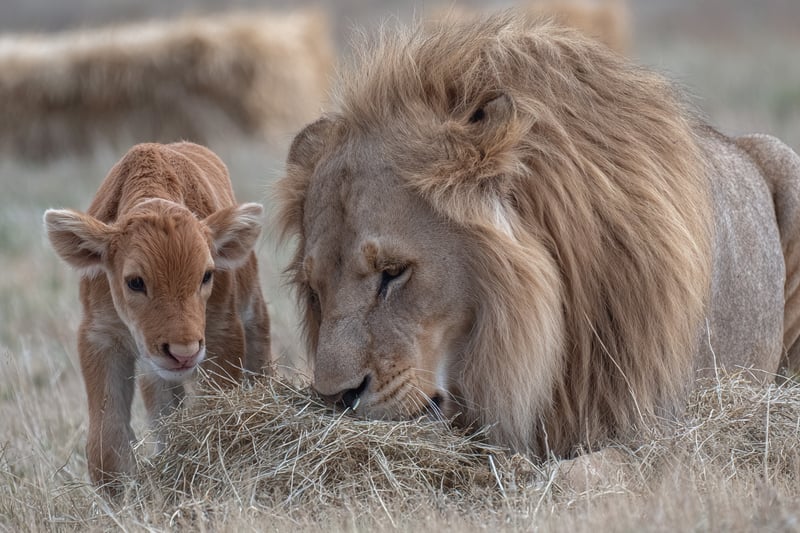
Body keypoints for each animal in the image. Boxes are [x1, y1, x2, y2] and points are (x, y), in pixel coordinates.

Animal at [45, 142, 271, 487]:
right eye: (135, 281)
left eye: (207, 275)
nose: (183, 353)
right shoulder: (100, 337)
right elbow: (107, 444)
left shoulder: (222, 332)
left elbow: (216, 412)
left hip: (253, 313)